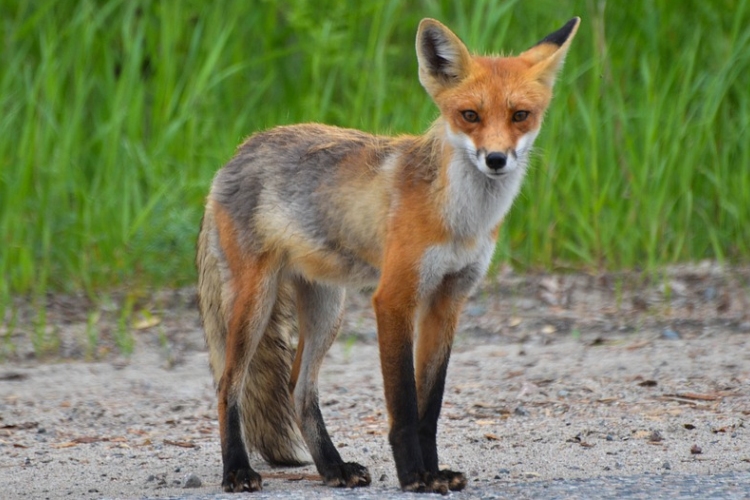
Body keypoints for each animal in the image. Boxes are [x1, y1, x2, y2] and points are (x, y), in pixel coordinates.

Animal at [197, 14, 584, 492]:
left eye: (520, 116)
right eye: (469, 116)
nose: (496, 159)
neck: (461, 221)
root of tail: (234, 155)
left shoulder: (448, 299)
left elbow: (429, 407)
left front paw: (435, 471)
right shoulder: (395, 297)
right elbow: (403, 403)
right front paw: (414, 474)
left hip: (328, 308)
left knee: (298, 388)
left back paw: (333, 467)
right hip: (256, 300)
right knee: (227, 384)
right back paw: (237, 469)